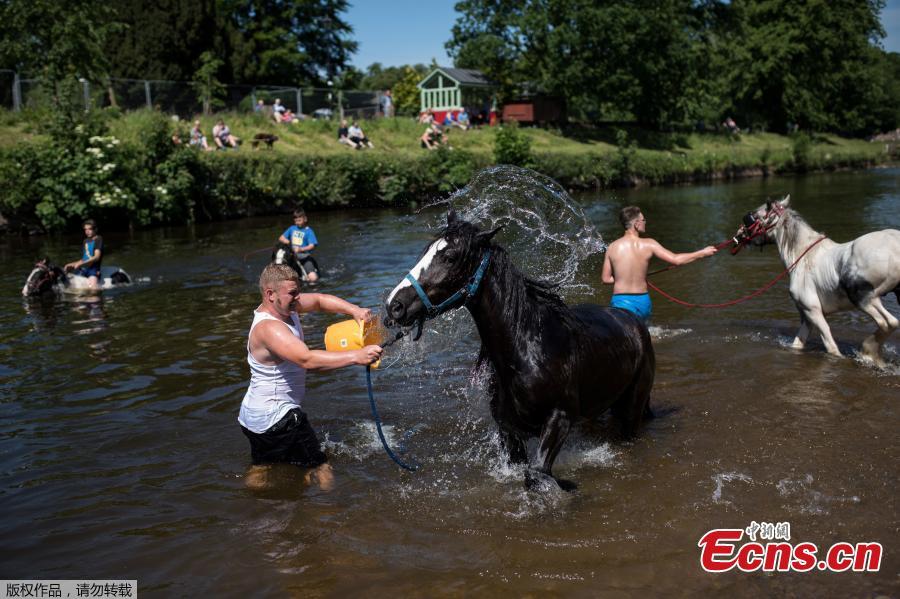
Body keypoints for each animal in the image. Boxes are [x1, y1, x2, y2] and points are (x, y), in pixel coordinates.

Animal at [383, 211, 655, 491]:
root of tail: (632, 321)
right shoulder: (509, 431)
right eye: (425, 251)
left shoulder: (559, 419)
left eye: (449, 257)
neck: (526, 349)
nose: (394, 306)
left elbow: (536, 473)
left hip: (631, 410)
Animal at [733, 195, 900, 365]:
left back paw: (867, 353)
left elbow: (831, 347)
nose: (738, 237)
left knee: (889, 322)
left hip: (864, 298)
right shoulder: (806, 315)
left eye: (752, 217)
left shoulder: (813, 310)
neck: (802, 256)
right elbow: (797, 344)